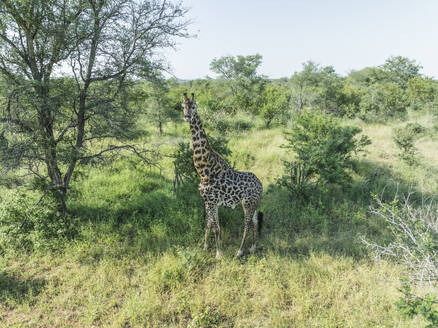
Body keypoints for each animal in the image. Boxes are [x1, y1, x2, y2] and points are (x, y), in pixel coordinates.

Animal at [181, 93, 264, 258]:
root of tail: (261, 185)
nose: (187, 116)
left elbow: (216, 228)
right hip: (254, 203)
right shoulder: (207, 202)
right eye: (183, 106)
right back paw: (253, 247)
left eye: (193, 106)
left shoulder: (212, 202)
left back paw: (239, 251)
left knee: (247, 224)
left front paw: (218, 254)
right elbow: (208, 224)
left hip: (247, 203)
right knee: (255, 221)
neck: (204, 170)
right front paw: (205, 247)